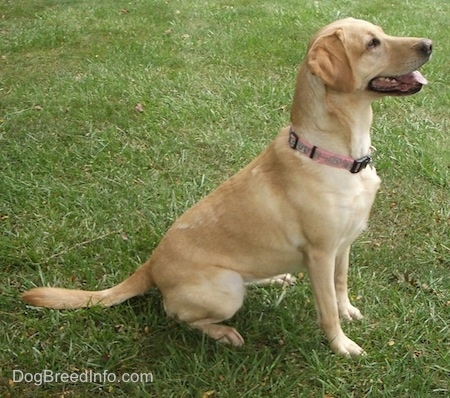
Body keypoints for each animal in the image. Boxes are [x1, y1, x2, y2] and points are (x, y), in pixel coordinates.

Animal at [22, 17, 432, 358]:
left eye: (381, 33)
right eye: (372, 43)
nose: (429, 43)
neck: (339, 154)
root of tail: (150, 265)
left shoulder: (343, 245)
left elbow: (341, 285)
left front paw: (349, 311)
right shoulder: (320, 253)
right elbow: (327, 307)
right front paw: (341, 345)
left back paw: (275, 277)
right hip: (226, 289)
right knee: (179, 315)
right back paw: (223, 333)